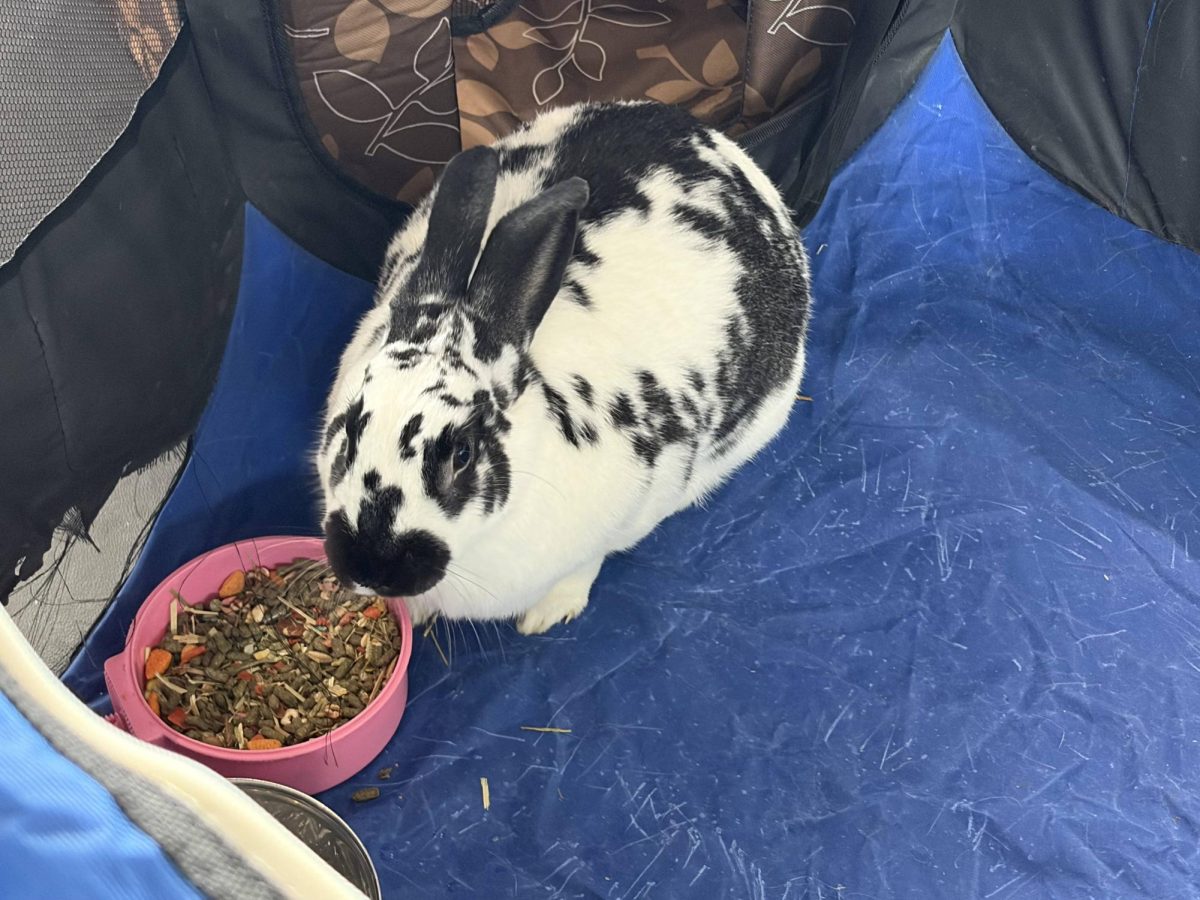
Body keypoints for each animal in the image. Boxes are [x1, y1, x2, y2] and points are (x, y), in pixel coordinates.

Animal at [317, 100, 811, 635]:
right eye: (348, 430)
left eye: (462, 454)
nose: (369, 567)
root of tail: (714, 139)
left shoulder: (630, 514)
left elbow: (587, 566)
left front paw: (546, 616)